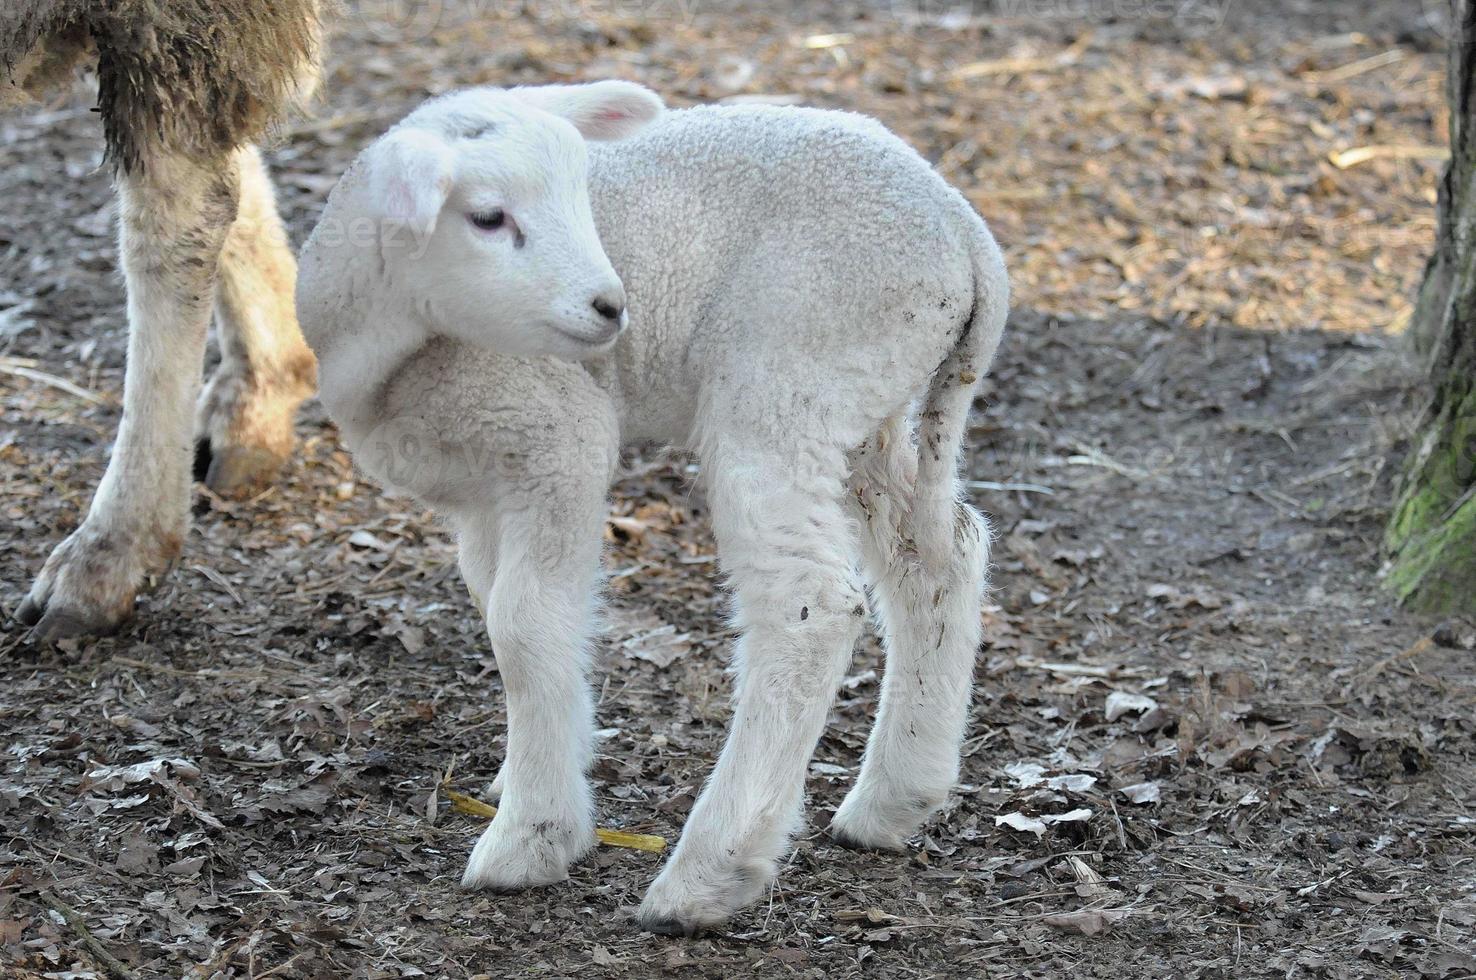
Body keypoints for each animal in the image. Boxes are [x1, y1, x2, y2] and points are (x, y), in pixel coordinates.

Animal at [293, 80, 1009, 932]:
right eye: (488, 217)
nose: (611, 308)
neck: (388, 343)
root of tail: (965, 233)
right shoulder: (483, 485)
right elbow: (502, 604)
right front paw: (541, 764)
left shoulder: (558, 437)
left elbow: (523, 625)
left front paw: (533, 836)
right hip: (868, 405)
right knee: (940, 554)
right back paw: (896, 798)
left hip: (788, 380)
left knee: (809, 607)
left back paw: (709, 871)